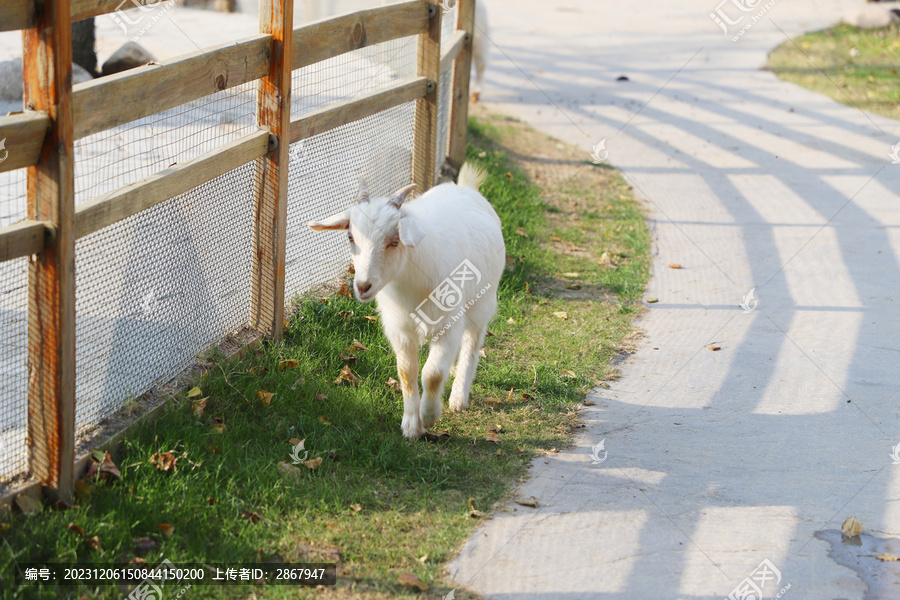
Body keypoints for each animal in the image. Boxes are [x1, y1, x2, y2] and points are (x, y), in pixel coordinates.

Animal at [308, 162, 506, 438]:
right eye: (350, 237)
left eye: (394, 241)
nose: (363, 286)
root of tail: (465, 188)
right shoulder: (399, 328)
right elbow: (407, 372)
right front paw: (412, 425)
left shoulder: (448, 324)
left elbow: (432, 373)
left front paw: (429, 415)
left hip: (482, 303)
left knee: (472, 345)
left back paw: (458, 397)